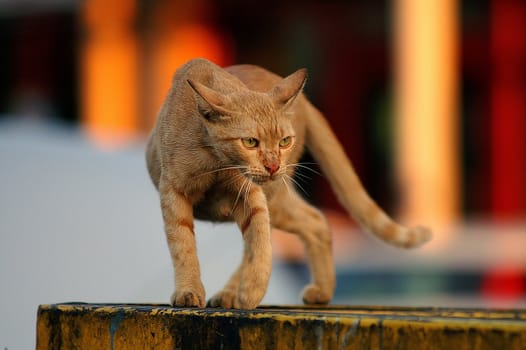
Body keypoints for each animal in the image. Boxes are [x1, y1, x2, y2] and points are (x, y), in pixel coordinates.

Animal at [145, 58, 434, 308]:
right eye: (250, 142)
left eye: (284, 141)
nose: (273, 165)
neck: (215, 161)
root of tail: (305, 102)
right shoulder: (174, 194)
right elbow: (183, 247)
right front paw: (189, 291)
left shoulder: (251, 196)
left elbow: (259, 244)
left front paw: (252, 290)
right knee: (316, 221)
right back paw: (321, 290)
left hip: (274, 198)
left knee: (311, 222)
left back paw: (236, 293)